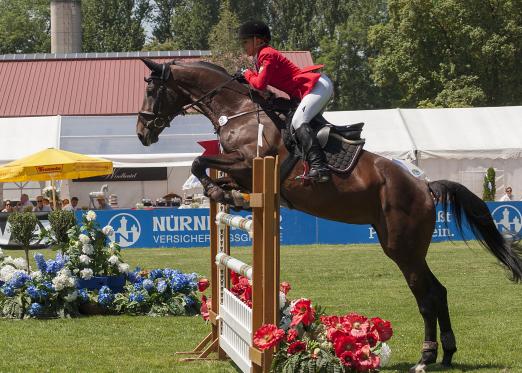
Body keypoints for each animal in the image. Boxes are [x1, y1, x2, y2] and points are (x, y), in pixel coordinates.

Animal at [135, 58, 520, 372]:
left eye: (152, 90)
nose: (142, 133)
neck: (239, 110)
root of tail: (425, 187)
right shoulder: (239, 170)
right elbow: (206, 169)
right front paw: (224, 194)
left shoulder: (248, 163)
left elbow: (199, 162)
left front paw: (218, 192)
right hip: (402, 246)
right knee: (437, 292)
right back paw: (447, 354)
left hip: (403, 248)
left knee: (427, 296)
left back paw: (426, 357)